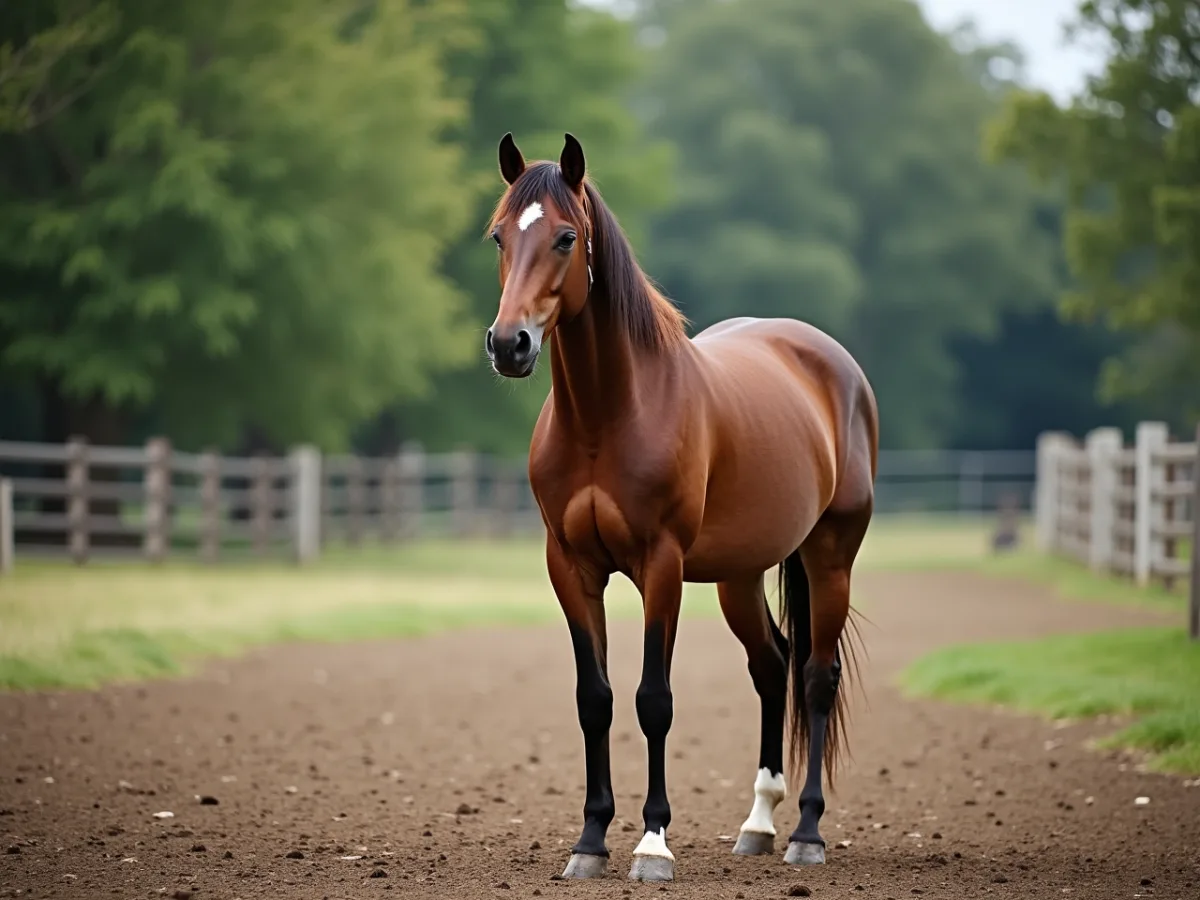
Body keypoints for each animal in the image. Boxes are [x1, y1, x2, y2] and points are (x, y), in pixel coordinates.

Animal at [484, 132, 878, 883]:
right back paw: (758, 824)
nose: (508, 344)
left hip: (830, 557)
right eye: (499, 236)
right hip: (739, 575)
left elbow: (653, 701)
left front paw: (652, 843)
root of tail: (833, 362)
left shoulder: (660, 567)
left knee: (815, 677)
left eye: (566, 237)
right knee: (773, 665)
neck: (609, 415)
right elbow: (595, 699)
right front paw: (590, 841)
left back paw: (806, 832)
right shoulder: (570, 568)